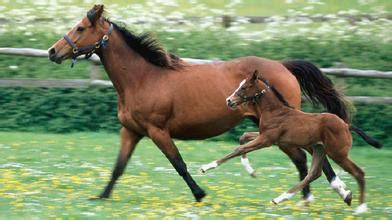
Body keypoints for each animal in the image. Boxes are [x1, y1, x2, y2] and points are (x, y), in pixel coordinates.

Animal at [201, 71, 382, 215]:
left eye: (245, 87)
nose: (229, 101)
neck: (275, 111)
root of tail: (345, 125)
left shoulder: (267, 140)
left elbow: (238, 148)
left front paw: (206, 167)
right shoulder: (268, 137)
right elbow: (243, 137)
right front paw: (250, 170)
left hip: (337, 153)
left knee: (358, 172)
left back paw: (361, 208)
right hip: (319, 149)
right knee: (313, 173)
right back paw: (280, 198)